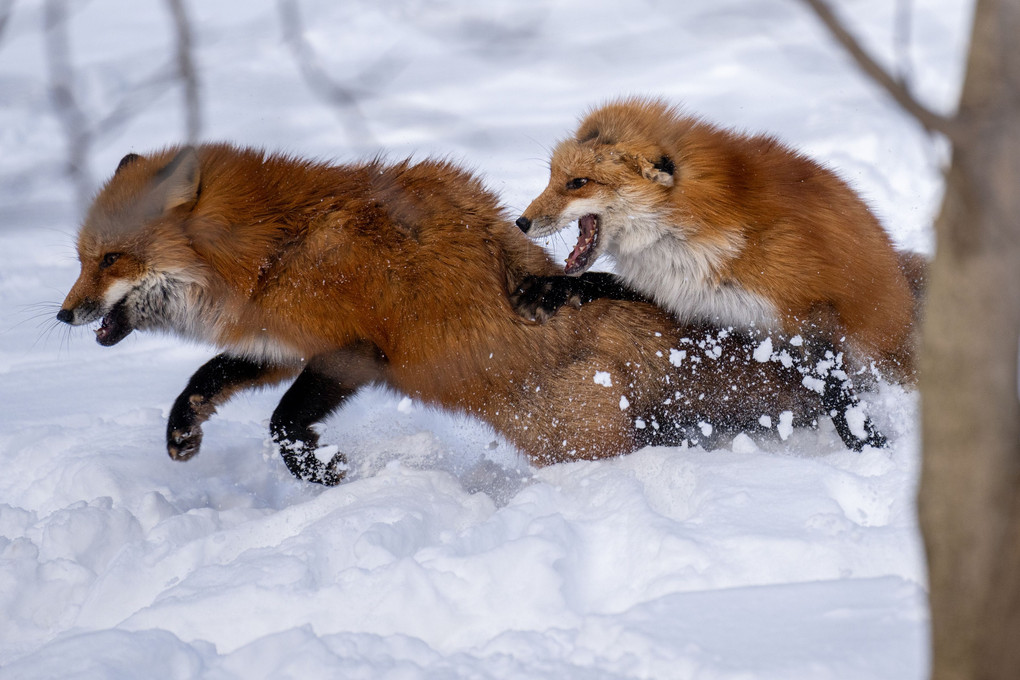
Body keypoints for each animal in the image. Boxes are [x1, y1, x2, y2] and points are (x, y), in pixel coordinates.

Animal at [59, 143, 877, 483]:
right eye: (80, 257)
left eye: (112, 260)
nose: (64, 316)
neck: (278, 249)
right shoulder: (283, 344)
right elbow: (207, 378)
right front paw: (182, 432)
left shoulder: (353, 351)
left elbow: (284, 425)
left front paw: (323, 475)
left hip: (574, 440)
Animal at [518, 95, 926, 387]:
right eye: (552, 177)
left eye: (578, 183)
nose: (522, 222)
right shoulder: (683, 295)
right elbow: (595, 279)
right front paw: (547, 290)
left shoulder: (809, 316)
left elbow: (842, 404)